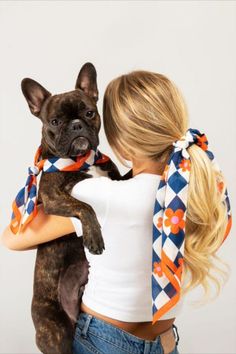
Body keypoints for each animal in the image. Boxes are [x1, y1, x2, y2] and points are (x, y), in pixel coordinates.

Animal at [21, 63, 132, 354]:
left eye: (89, 112)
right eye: (55, 121)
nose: (76, 125)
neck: (83, 160)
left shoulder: (115, 178)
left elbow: (126, 177)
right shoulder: (53, 198)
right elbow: (84, 206)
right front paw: (94, 237)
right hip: (56, 332)